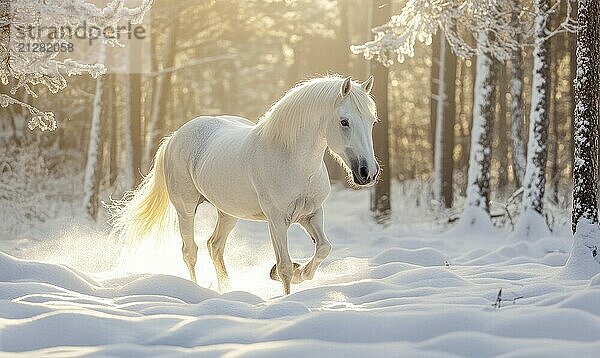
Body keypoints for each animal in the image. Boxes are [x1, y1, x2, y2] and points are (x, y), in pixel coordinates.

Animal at [112, 75, 380, 294]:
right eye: (344, 122)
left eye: (372, 122)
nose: (367, 173)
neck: (290, 158)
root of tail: (175, 136)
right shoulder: (276, 220)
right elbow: (283, 266)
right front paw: (287, 295)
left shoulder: (311, 214)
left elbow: (324, 248)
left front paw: (301, 272)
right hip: (185, 209)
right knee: (190, 252)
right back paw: (196, 290)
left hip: (228, 213)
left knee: (214, 246)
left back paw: (226, 289)